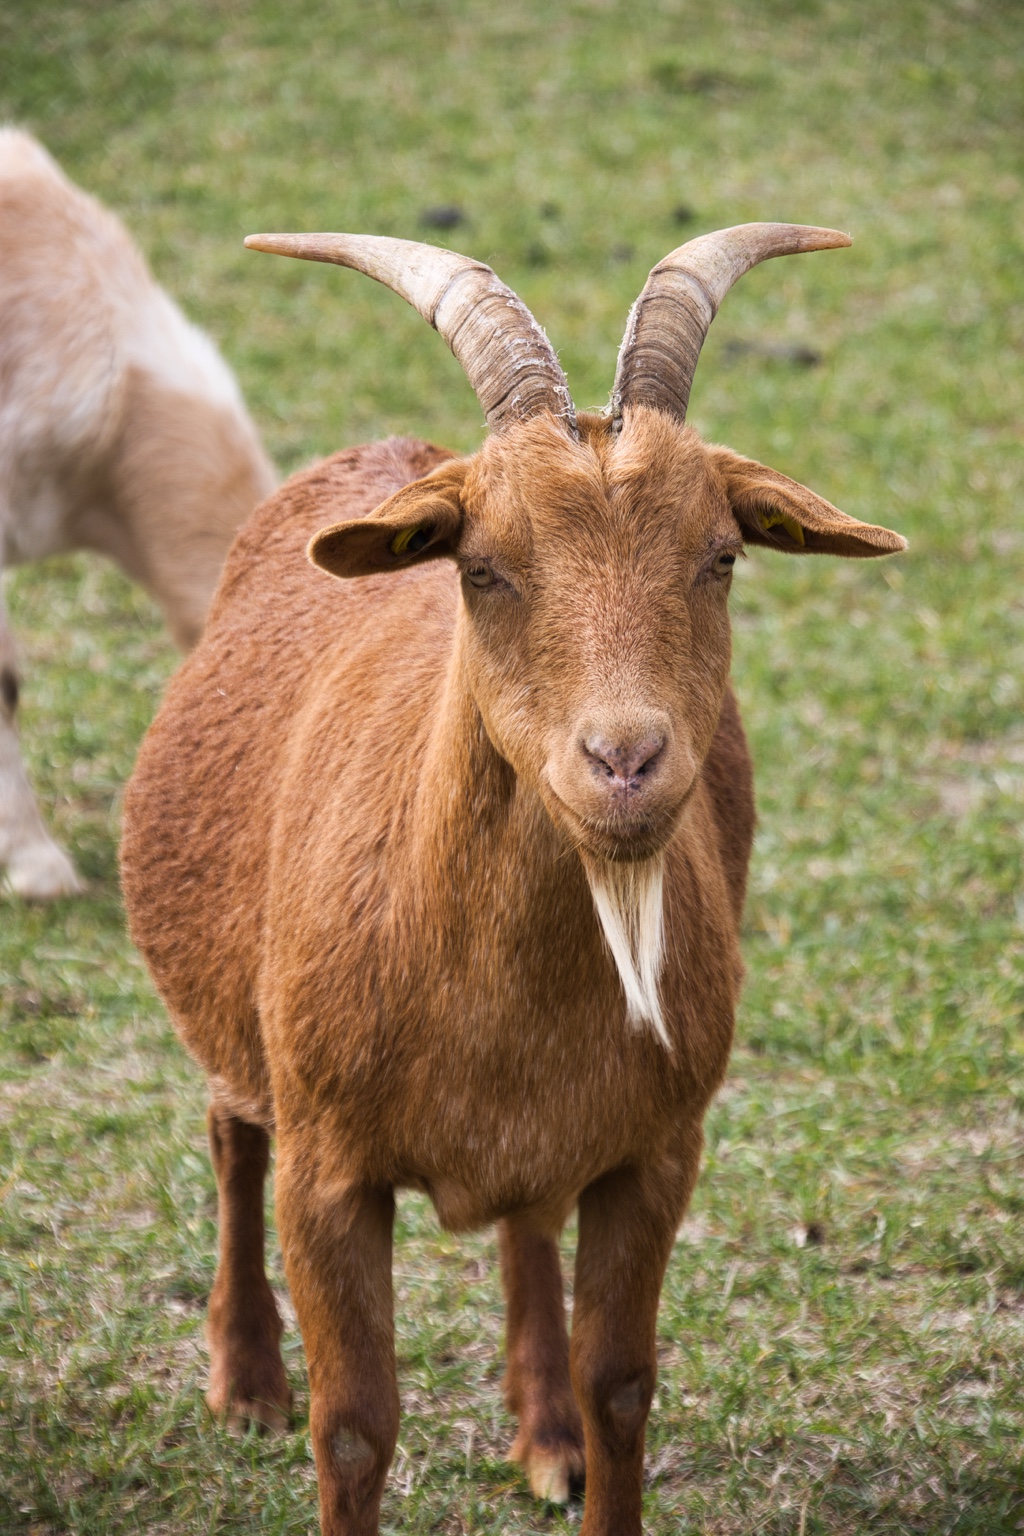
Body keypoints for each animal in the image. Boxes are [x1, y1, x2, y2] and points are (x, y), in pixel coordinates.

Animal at [120, 223, 905, 1536]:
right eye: (481, 568)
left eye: (721, 555)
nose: (624, 762)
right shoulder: (329, 1176)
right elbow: (353, 1425)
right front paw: (292, 1401)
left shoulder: (654, 1155)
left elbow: (622, 1384)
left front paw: (580, 1439)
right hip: (233, 1011)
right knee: (231, 1130)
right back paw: (245, 1376)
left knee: (527, 1228)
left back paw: (543, 1435)